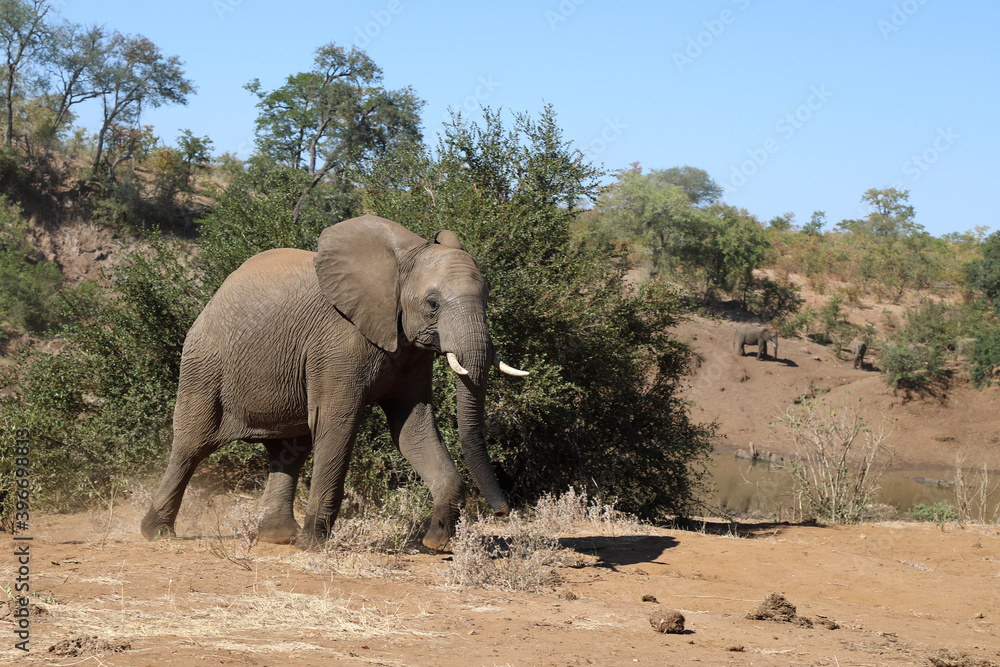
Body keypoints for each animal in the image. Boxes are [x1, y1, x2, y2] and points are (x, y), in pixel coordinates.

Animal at [140, 214, 528, 552]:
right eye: (432, 303)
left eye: (487, 298)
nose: (503, 511)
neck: (403, 260)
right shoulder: (338, 342)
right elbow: (337, 423)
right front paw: (313, 546)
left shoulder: (410, 353)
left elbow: (413, 429)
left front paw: (436, 544)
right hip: (204, 363)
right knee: (192, 445)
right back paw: (156, 533)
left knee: (289, 451)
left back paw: (279, 537)